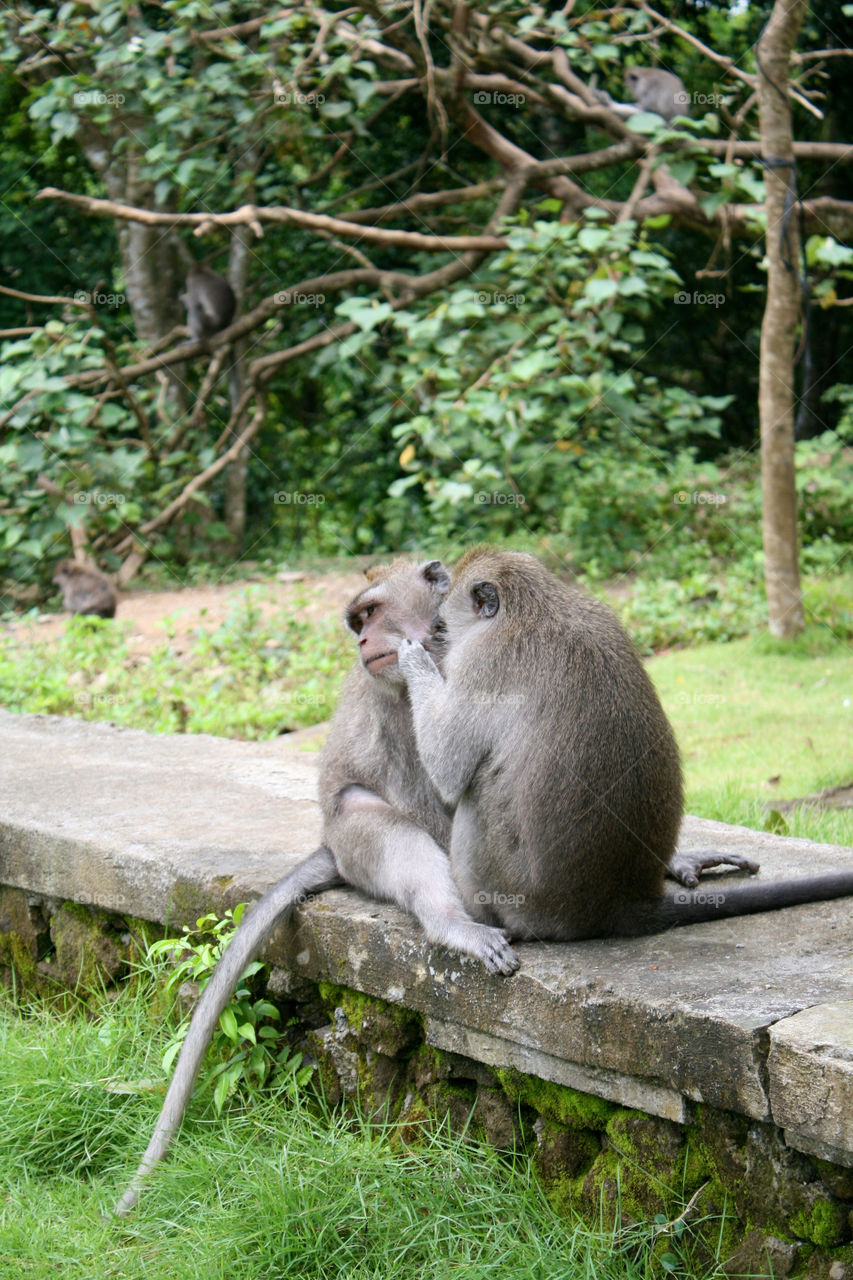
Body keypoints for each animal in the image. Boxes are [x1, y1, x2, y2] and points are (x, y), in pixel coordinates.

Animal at [115, 558, 517, 1216]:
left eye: (370, 613)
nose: (362, 640)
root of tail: (330, 846)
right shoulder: (396, 694)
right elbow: (435, 789)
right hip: (356, 842)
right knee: (384, 824)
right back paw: (451, 924)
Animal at [398, 548, 853, 941]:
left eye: (442, 623)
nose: (435, 633)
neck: (534, 605)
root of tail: (621, 905)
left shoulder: (481, 661)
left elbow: (449, 770)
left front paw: (413, 660)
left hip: (514, 890)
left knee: (477, 792)